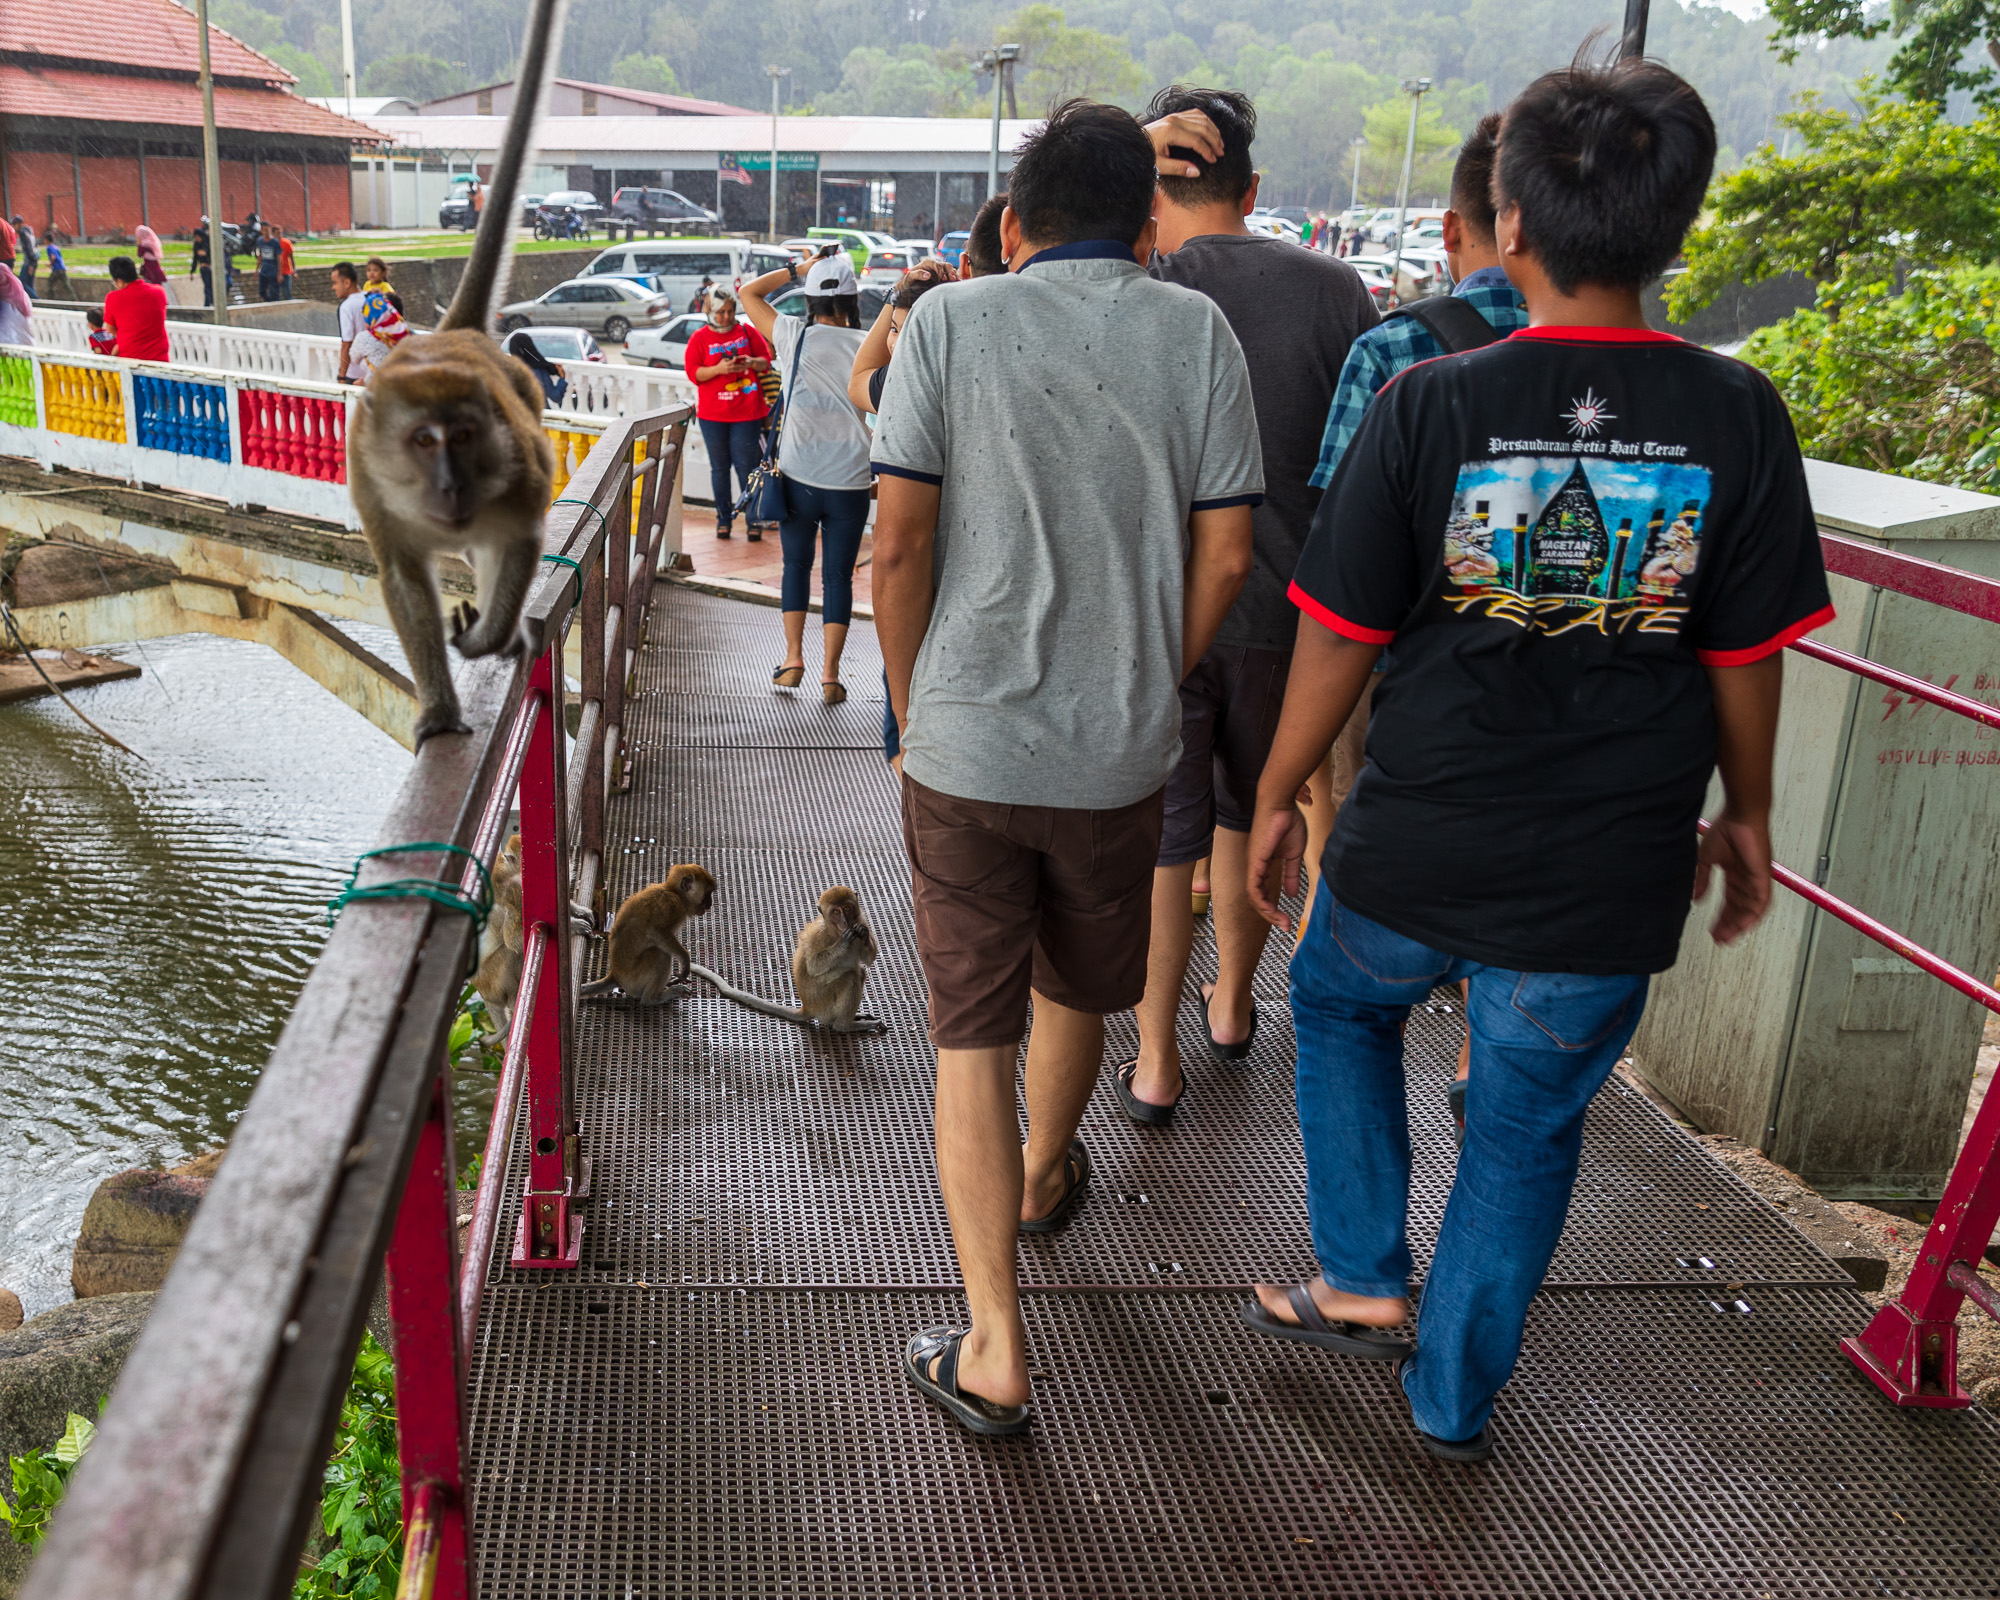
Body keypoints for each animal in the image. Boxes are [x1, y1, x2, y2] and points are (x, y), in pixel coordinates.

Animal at [347, 0, 568, 745]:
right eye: (423, 441)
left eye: (465, 437)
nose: (450, 485)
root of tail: (461, 333)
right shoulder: (372, 484)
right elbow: (403, 578)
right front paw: (440, 711)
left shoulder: (516, 472)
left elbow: (520, 541)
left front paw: (485, 640)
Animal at [578, 865, 717, 1003]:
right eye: (708, 894)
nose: (710, 904)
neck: (673, 892)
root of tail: (616, 974)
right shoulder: (672, 905)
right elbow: (655, 931)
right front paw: (685, 961)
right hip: (634, 981)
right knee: (660, 954)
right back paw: (652, 999)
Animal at [689, 886, 887, 1036]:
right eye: (836, 912)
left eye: (846, 908)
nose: (845, 922)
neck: (835, 931)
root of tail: (808, 1007)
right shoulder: (820, 936)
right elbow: (814, 966)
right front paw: (844, 943)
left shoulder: (862, 920)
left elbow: (869, 959)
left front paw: (863, 934)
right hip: (823, 1002)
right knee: (851, 976)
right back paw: (844, 1026)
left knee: (860, 972)